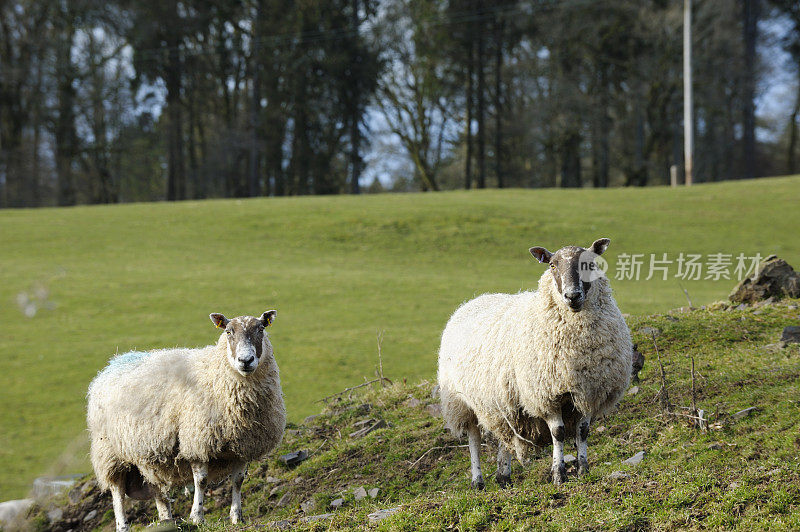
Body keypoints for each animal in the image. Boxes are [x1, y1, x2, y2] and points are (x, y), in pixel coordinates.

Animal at [86, 310, 284, 528]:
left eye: (261, 329)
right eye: (229, 331)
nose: (245, 360)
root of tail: (115, 361)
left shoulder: (242, 446)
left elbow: (238, 481)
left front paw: (236, 517)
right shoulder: (197, 442)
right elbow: (201, 481)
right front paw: (197, 516)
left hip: (149, 456)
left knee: (158, 492)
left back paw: (166, 519)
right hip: (110, 454)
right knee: (117, 494)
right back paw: (123, 525)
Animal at [438, 239, 632, 488]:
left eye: (589, 263)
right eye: (552, 265)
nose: (572, 295)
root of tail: (470, 302)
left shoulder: (588, 390)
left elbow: (583, 431)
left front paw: (583, 470)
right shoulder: (547, 394)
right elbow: (558, 433)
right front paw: (559, 474)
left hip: (502, 401)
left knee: (505, 436)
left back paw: (504, 476)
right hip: (461, 403)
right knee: (474, 440)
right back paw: (477, 481)